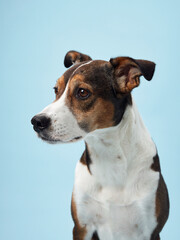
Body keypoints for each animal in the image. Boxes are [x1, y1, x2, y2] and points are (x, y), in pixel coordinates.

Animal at [30, 51, 169, 240]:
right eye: (55, 90)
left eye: (82, 92)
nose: (36, 122)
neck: (109, 156)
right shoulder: (82, 227)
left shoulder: (149, 231)